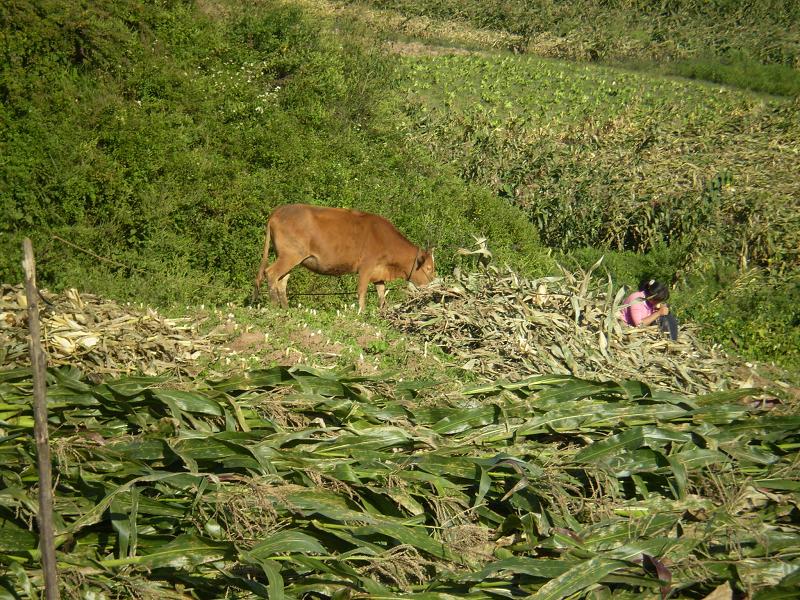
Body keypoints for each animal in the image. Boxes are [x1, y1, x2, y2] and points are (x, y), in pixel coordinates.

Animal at [252, 204, 434, 312]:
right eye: (429, 268)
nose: (432, 285)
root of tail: (279, 210)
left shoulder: (378, 272)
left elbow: (382, 294)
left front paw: (382, 313)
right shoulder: (366, 266)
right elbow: (361, 291)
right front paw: (361, 314)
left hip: (292, 258)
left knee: (282, 280)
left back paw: (286, 308)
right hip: (290, 255)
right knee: (271, 273)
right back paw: (275, 307)